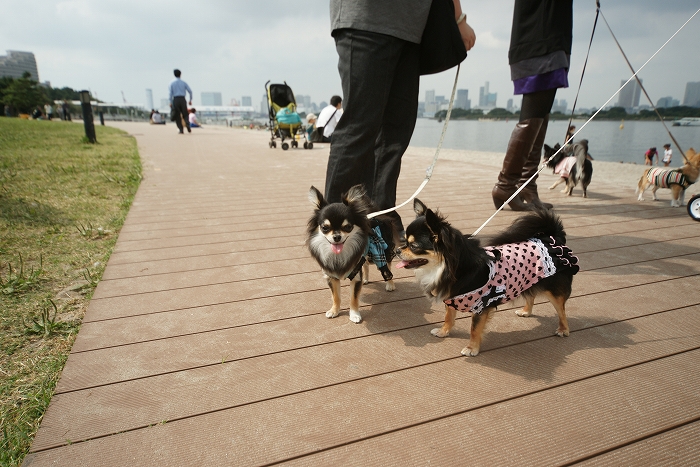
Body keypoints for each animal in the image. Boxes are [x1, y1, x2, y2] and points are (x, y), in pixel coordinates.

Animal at [308, 185, 400, 324]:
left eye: (348, 227)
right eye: (324, 227)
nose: (336, 237)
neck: (340, 255)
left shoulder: (356, 277)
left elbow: (354, 298)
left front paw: (355, 315)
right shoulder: (331, 276)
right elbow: (335, 296)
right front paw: (334, 311)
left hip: (384, 251)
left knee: (387, 267)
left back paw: (390, 284)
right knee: (366, 265)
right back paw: (366, 279)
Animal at [394, 199, 580, 356]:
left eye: (413, 246)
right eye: (404, 241)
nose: (396, 250)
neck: (445, 268)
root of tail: (553, 236)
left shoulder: (481, 307)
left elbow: (474, 329)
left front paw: (471, 348)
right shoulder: (451, 298)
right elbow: (448, 317)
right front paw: (443, 332)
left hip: (555, 291)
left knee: (562, 310)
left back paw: (563, 329)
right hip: (529, 280)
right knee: (531, 294)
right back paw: (526, 311)